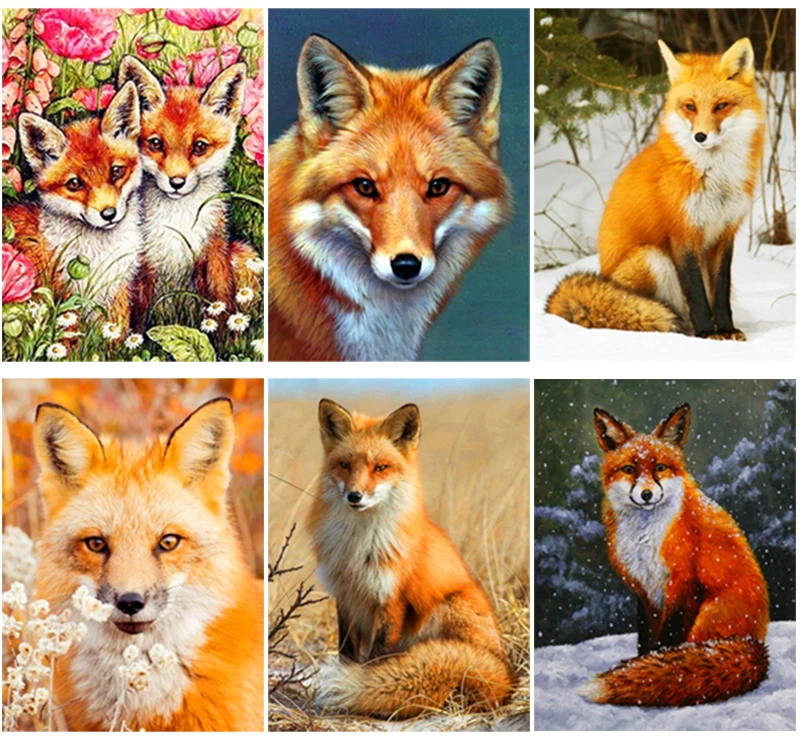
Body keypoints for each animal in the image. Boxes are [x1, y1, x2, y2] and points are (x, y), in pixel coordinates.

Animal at [8, 82, 145, 334]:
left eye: (116, 171)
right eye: (74, 184)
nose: (108, 214)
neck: (100, 254)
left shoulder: (116, 293)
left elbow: (116, 334)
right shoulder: (66, 299)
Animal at [118, 56, 259, 317]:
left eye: (199, 147)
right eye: (156, 144)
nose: (176, 182)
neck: (178, 222)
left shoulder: (213, 253)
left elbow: (221, 302)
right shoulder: (143, 263)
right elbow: (137, 317)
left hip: (244, 253)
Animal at [308, 399, 515, 718]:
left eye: (380, 468)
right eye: (344, 465)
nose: (354, 496)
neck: (359, 547)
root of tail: (506, 674)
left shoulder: (391, 599)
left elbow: (377, 658)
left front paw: (365, 687)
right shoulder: (345, 596)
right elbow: (346, 651)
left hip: (447, 607)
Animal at [546, 38, 765, 340]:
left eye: (721, 105)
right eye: (690, 107)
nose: (700, 136)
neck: (713, 175)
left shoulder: (724, 233)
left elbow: (719, 294)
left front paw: (726, 330)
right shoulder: (682, 232)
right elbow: (698, 295)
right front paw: (707, 334)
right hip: (652, 258)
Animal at [583, 403, 769, 706]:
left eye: (660, 467)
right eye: (629, 469)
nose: (647, 494)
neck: (645, 537)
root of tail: (757, 644)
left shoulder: (683, 585)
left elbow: (666, 640)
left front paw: (646, 671)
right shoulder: (645, 590)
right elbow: (646, 638)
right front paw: (640, 665)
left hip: (707, 618)